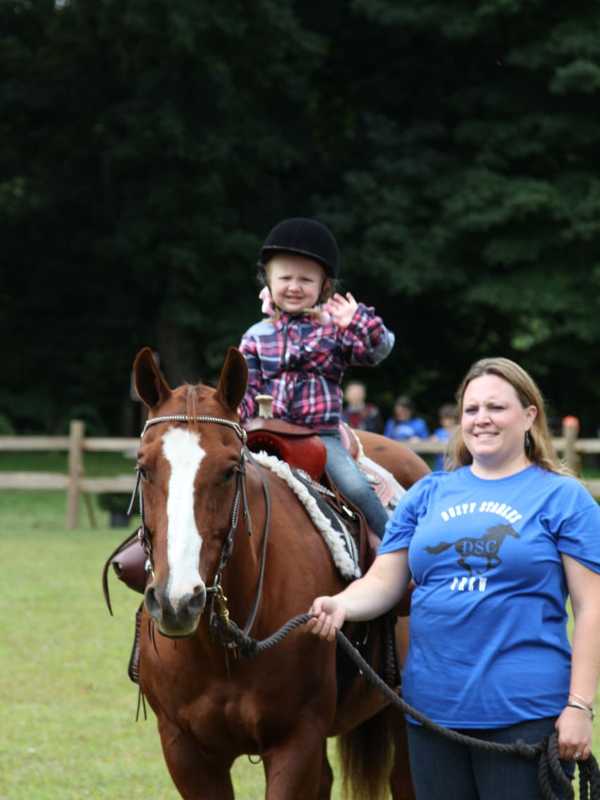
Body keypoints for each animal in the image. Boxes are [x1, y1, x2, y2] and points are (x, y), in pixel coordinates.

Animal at [132, 346, 426, 800]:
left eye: (230, 469)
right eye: (144, 467)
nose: (177, 600)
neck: (225, 648)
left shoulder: (296, 742)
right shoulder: (185, 751)